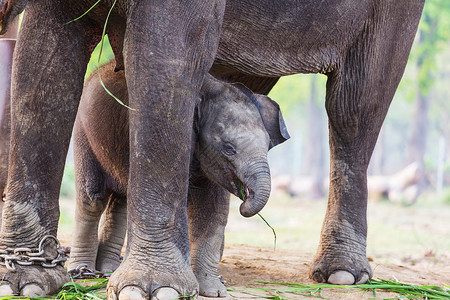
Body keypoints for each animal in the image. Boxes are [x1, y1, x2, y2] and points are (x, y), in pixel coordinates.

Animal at [69, 62, 290, 296]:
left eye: (268, 145)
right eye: (229, 148)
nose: (245, 202)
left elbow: (214, 211)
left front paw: (214, 292)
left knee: (120, 201)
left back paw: (108, 270)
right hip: (84, 135)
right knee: (93, 199)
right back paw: (82, 271)